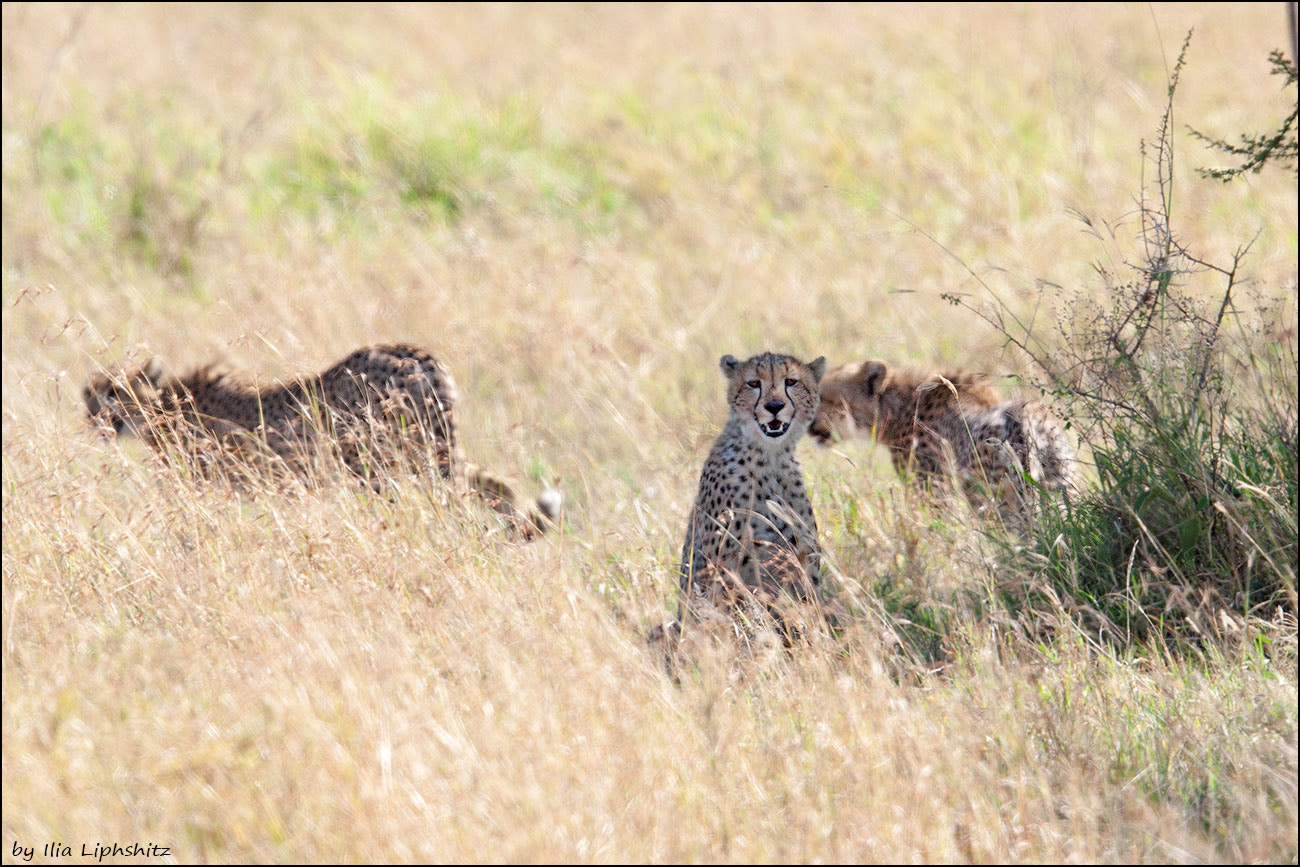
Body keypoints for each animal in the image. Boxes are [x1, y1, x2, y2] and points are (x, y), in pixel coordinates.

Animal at [83, 343, 561, 535]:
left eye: (113, 393)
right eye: (88, 395)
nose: (92, 419)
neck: (163, 406)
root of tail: (414, 352)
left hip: (377, 463)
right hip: (425, 454)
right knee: (499, 487)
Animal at [676, 348, 826, 642]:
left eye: (791, 382)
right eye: (754, 383)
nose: (774, 406)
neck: (769, 458)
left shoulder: (804, 561)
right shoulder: (721, 570)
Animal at [806, 358, 1081, 509]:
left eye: (823, 398)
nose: (807, 426)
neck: (897, 407)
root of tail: (1031, 416)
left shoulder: (932, 486)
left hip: (999, 495)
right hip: (1062, 487)